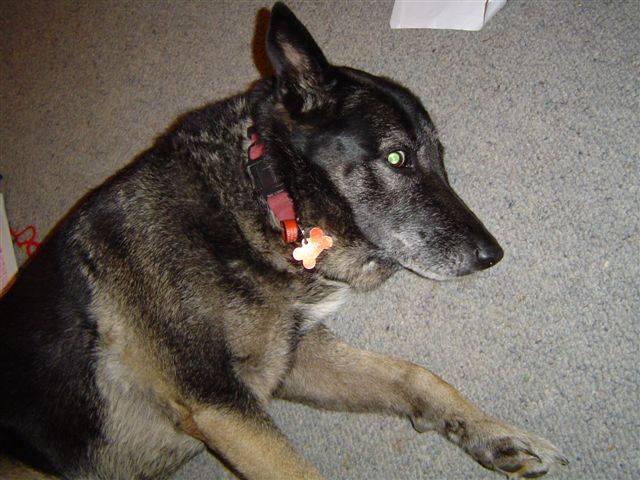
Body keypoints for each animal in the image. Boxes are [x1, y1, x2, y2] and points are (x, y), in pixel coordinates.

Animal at [0, 3, 568, 479]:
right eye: (397, 158)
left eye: (440, 158)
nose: (492, 255)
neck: (262, 201)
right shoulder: (219, 402)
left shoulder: (292, 362)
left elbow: (415, 377)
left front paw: (494, 434)